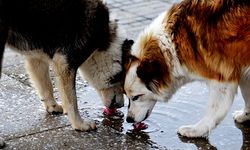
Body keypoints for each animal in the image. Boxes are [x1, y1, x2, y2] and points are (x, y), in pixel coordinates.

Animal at [0, 0, 132, 145]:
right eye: (122, 84)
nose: (121, 106)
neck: (103, 41)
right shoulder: (65, 61)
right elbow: (72, 99)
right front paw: (79, 124)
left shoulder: (36, 56)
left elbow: (46, 86)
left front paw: (52, 106)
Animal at [124, 0, 250, 138]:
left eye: (136, 97)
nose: (128, 119)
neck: (173, 44)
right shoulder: (243, 71)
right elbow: (247, 95)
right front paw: (245, 115)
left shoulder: (222, 79)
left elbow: (214, 111)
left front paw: (196, 130)